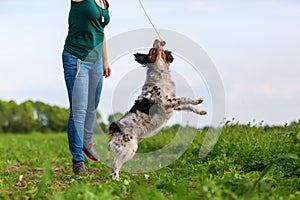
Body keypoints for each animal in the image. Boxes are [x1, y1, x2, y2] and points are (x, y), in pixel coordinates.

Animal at [108, 39, 206, 180]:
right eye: (152, 50)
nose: (156, 40)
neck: (160, 76)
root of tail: (114, 129)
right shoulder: (166, 102)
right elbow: (184, 98)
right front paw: (197, 101)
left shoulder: (173, 105)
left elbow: (187, 105)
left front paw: (200, 109)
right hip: (129, 149)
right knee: (114, 166)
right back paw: (117, 180)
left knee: (115, 165)